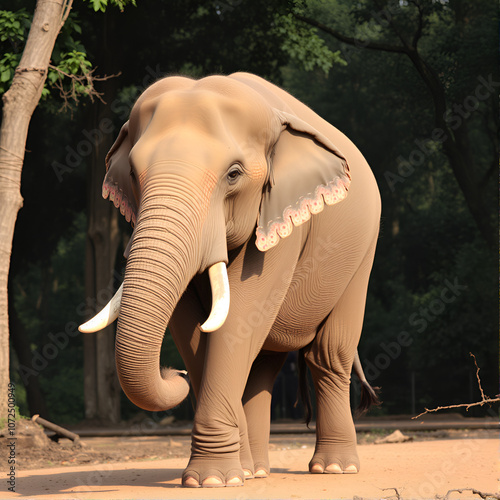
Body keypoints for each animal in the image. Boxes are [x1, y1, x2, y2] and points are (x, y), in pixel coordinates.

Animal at [80, 72, 380, 486]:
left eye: (233, 174)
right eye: (133, 175)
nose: (172, 373)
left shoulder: (279, 219)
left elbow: (239, 318)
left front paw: (213, 479)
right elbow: (192, 327)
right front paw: (228, 471)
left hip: (362, 255)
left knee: (328, 355)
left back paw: (334, 468)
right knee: (263, 366)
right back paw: (257, 470)